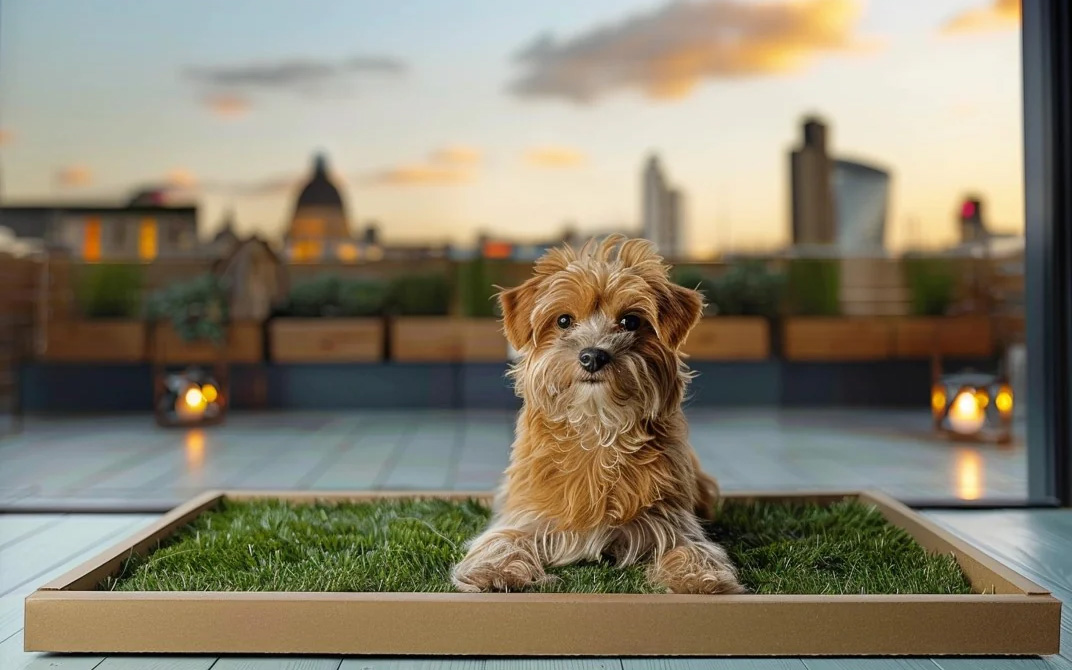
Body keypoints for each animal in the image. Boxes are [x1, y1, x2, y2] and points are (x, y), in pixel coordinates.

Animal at [452, 237, 746, 591]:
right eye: (564, 321)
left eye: (630, 321)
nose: (593, 356)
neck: (598, 427)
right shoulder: (527, 515)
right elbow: (500, 541)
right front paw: (496, 571)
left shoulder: (671, 522)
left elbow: (691, 549)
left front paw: (699, 577)